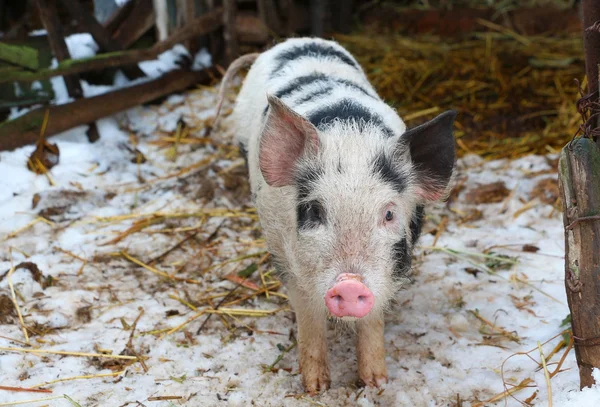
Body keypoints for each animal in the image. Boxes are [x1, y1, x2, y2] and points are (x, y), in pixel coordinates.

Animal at [225, 36, 454, 394]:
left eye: (389, 214)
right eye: (315, 211)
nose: (348, 284)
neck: (352, 144)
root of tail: (295, 40)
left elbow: (374, 320)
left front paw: (376, 383)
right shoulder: (282, 255)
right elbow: (308, 316)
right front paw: (316, 387)